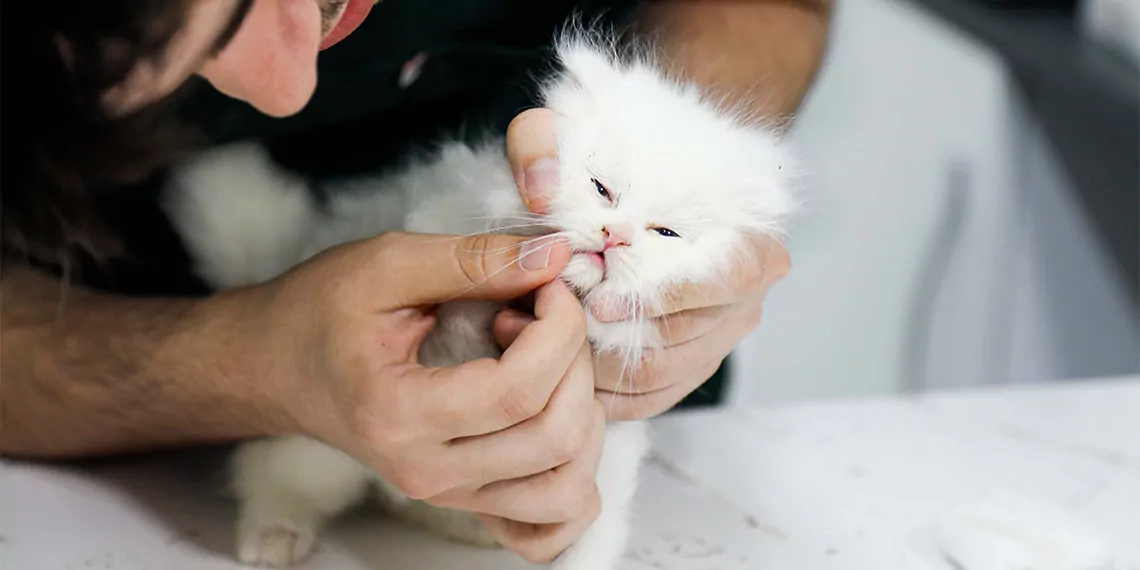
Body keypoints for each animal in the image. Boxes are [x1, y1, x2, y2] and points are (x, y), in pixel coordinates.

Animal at [166, 33, 793, 567]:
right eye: (602, 190)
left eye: (666, 233)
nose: (614, 237)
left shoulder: (602, 460)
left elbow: (592, 540)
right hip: (314, 446)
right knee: (272, 476)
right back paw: (274, 537)